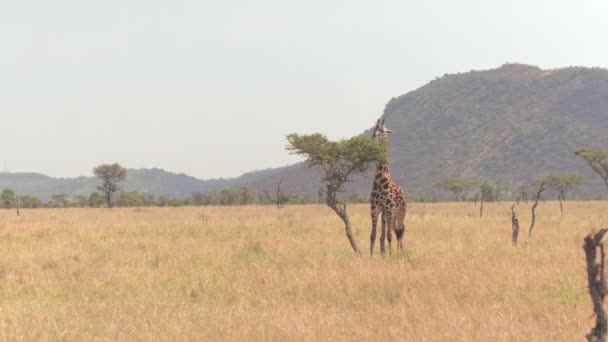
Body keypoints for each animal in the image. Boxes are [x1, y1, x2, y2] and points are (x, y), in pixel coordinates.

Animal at [368, 119, 406, 255]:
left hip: (400, 213)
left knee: (400, 231)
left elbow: (390, 236)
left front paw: (390, 256)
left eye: (382, 131)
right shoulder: (375, 208)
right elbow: (373, 235)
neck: (380, 179)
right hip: (386, 215)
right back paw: (384, 253)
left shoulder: (389, 208)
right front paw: (371, 256)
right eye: (374, 130)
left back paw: (399, 252)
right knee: (386, 234)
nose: (372, 139)